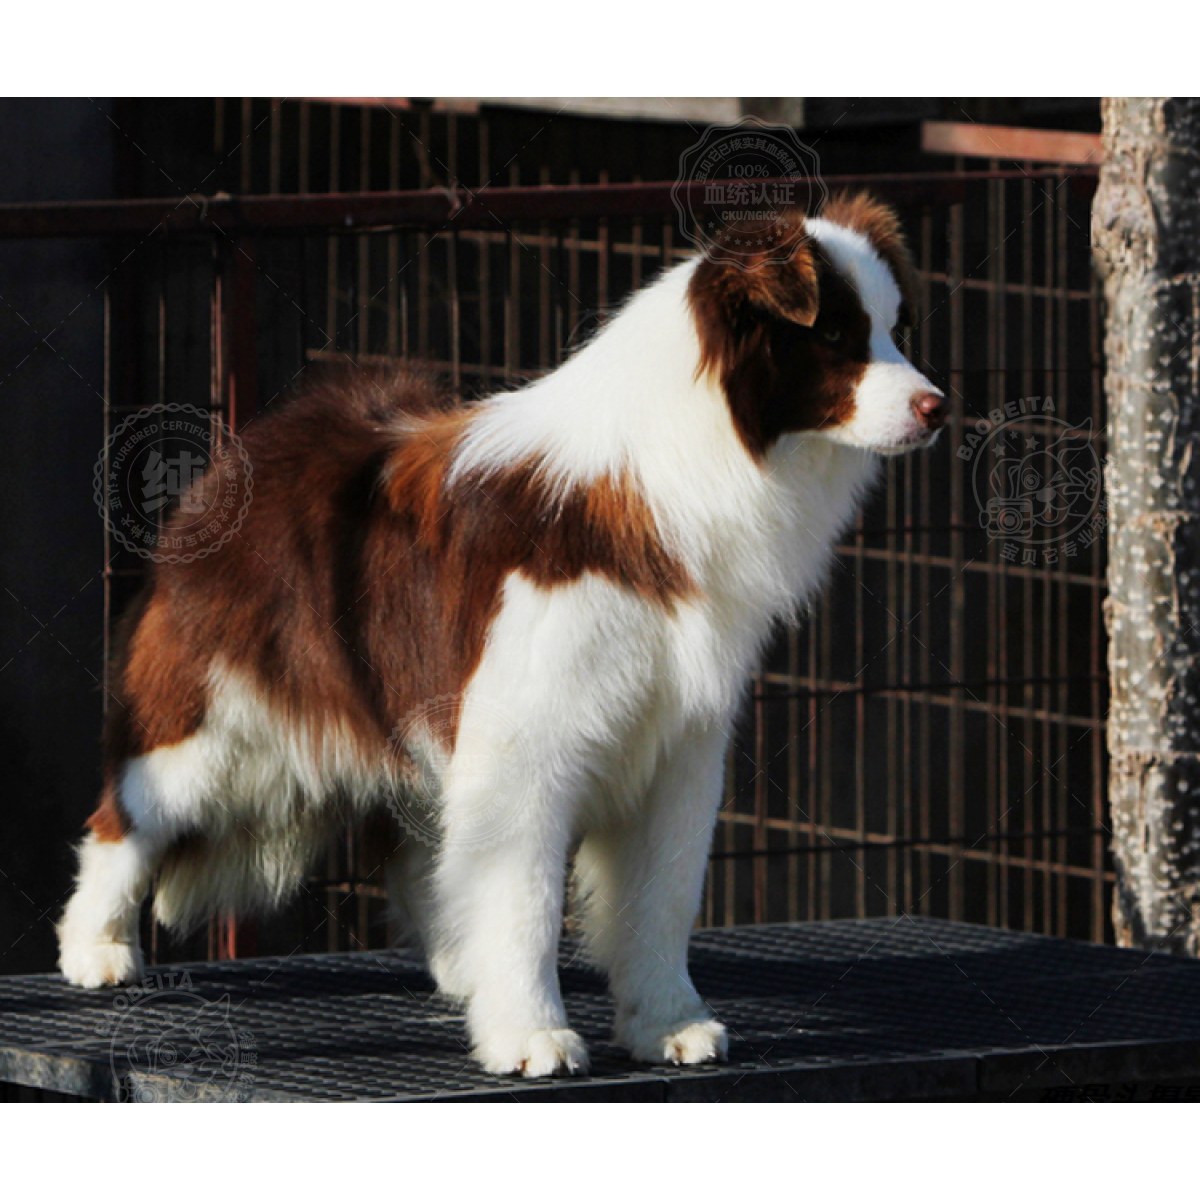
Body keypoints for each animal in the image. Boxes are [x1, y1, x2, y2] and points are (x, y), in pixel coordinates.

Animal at [58, 191, 943, 1077]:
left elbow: (662, 896)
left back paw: (462, 967)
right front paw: (530, 1033)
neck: (676, 469)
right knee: (125, 817)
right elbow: (526, 894)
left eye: (896, 327)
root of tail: (249, 453)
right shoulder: (530, 736)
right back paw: (96, 946)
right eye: (835, 333)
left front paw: (667, 1021)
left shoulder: (679, 743)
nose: (938, 407)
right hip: (214, 724)